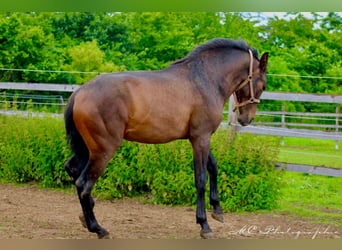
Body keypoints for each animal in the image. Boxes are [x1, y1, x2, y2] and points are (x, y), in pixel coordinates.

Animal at [62, 38, 268, 239]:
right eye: (263, 85)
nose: (246, 119)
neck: (204, 79)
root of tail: (79, 93)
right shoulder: (200, 138)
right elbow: (200, 179)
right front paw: (204, 225)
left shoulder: (199, 137)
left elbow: (213, 167)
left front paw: (217, 211)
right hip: (103, 151)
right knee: (84, 184)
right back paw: (98, 228)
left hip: (86, 149)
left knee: (72, 170)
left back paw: (86, 216)